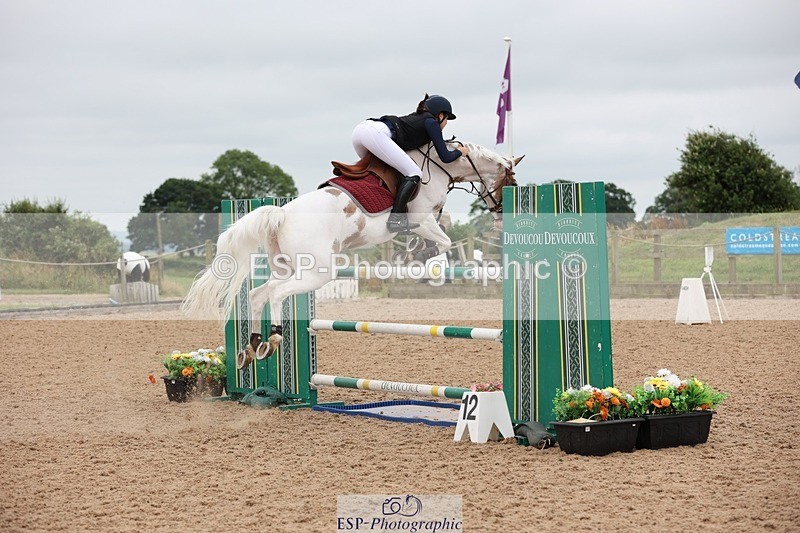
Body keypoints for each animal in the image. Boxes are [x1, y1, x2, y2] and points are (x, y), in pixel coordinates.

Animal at [181, 140, 522, 366]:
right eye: (510, 180)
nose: (500, 216)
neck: (439, 165)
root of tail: (280, 214)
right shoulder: (422, 218)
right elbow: (445, 241)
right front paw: (419, 256)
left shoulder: (424, 221)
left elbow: (436, 235)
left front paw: (414, 251)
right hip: (317, 273)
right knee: (276, 293)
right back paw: (274, 338)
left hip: (289, 267)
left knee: (257, 294)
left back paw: (254, 347)